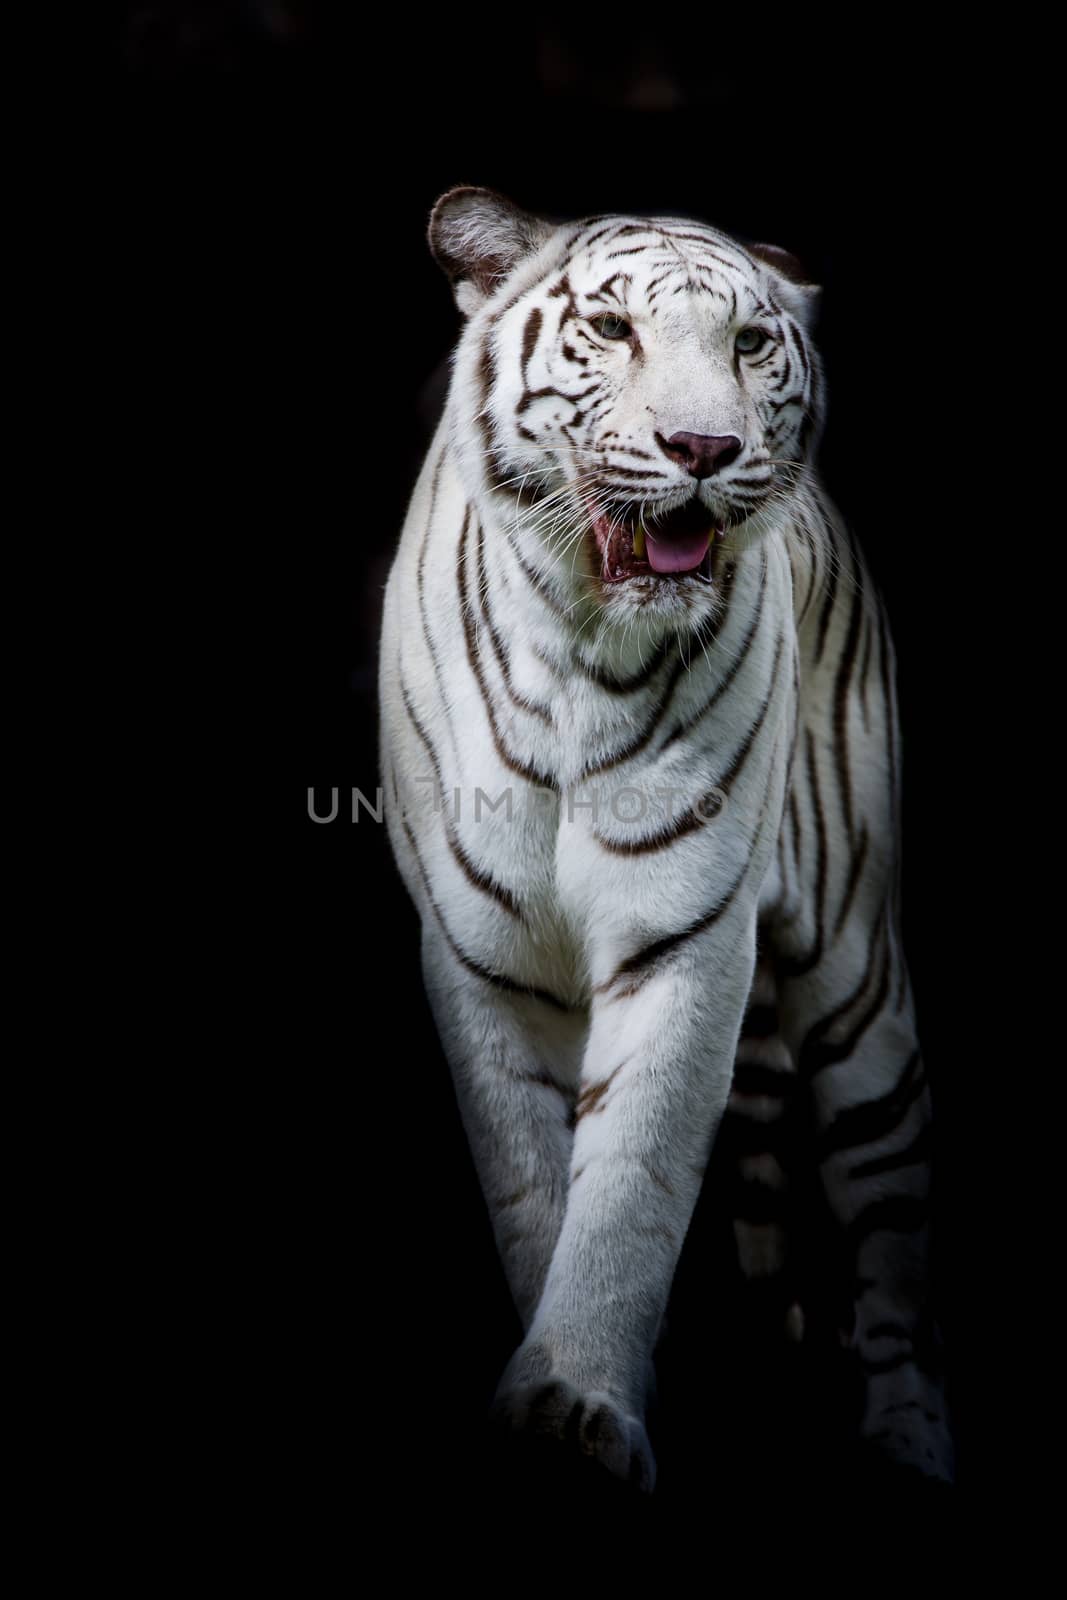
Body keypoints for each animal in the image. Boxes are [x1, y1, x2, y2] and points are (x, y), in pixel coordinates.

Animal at [379, 184, 953, 1484]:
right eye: (609, 329)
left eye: (746, 344)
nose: (704, 449)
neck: (581, 649)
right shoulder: (482, 954)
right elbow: (535, 1187)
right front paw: (556, 1400)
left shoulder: (684, 935)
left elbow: (631, 1183)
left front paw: (579, 1404)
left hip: (856, 982)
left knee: (890, 1228)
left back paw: (906, 1435)